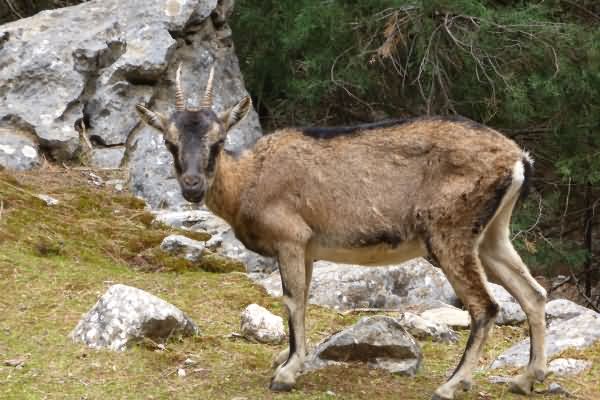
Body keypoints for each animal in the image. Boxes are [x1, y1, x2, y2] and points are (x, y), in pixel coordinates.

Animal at [137, 66, 548, 400]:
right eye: (170, 142)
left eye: (218, 141)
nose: (192, 186)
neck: (249, 181)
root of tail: (517, 160)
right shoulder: (307, 247)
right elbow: (302, 301)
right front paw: (287, 359)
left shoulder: (289, 238)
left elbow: (292, 300)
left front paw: (286, 373)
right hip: (492, 235)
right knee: (533, 293)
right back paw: (526, 379)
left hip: (451, 231)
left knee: (486, 306)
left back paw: (451, 384)